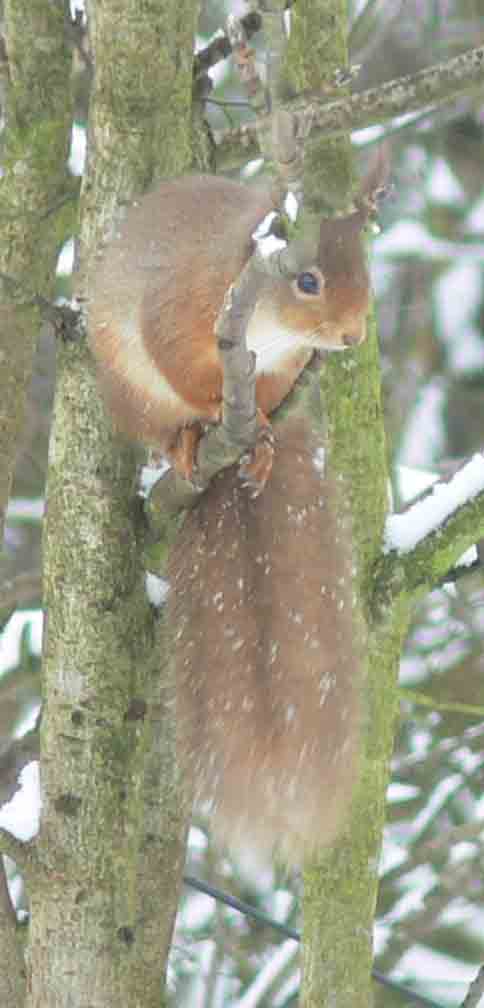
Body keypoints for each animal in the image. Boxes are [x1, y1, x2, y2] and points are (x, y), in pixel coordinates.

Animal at [87, 173, 379, 866]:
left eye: (362, 265)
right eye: (307, 280)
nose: (354, 335)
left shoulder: (283, 368)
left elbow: (269, 397)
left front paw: (264, 430)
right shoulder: (175, 307)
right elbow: (177, 363)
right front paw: (211, 411)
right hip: (129, 389)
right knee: (164, 418)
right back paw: (188, 441)